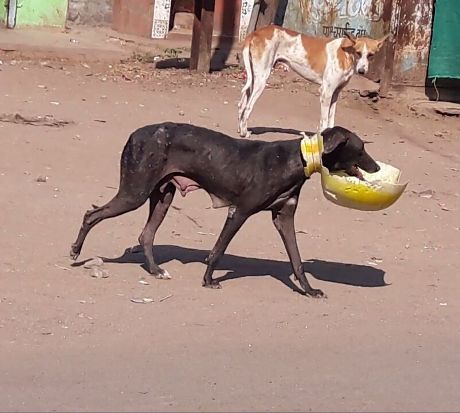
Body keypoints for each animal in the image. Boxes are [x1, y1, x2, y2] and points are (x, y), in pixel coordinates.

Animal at [70, 122, 380, 296]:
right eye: (361, 149)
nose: (377, 167)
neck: (298, 158)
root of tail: (135, 135)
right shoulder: (239, 212)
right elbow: (217, 251)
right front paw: (208, 280)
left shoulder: (284, 218)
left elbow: (297, 260)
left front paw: (309, 289)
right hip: (134, 193)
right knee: (91, 214)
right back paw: (75, 252)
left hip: (162, 196)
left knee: (145, 236)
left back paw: (157, 270)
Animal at [237, 24, 388, 137]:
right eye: (358, 53)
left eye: (371, 55)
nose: (362, 71)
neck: (346, 52)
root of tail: (256, 32)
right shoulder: (326, 92)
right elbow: (324, 120)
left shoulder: (335, 93)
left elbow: (331, 118)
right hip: (261, 80)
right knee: (248, 107)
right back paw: (244, 132)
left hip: (254, 79)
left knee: (241, 105)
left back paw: (240, 128)